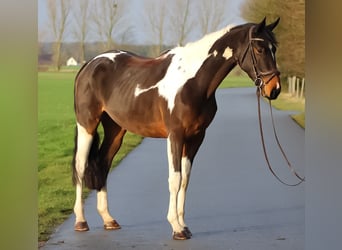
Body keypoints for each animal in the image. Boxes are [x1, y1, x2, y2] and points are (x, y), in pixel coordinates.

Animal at [72, 17, 280, 240]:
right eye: (259, 49)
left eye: (274, 48)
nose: (274, 89)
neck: (193, 81)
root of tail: (90, 64)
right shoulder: (175, 135)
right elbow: (175, 178)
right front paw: (176, 227)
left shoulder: (196, 137)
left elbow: (185, 179)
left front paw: (184, 225)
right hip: (87, 125)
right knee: (81, 166)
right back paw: (81, 221)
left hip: (115, 129)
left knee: (103, 163)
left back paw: (108, 219)